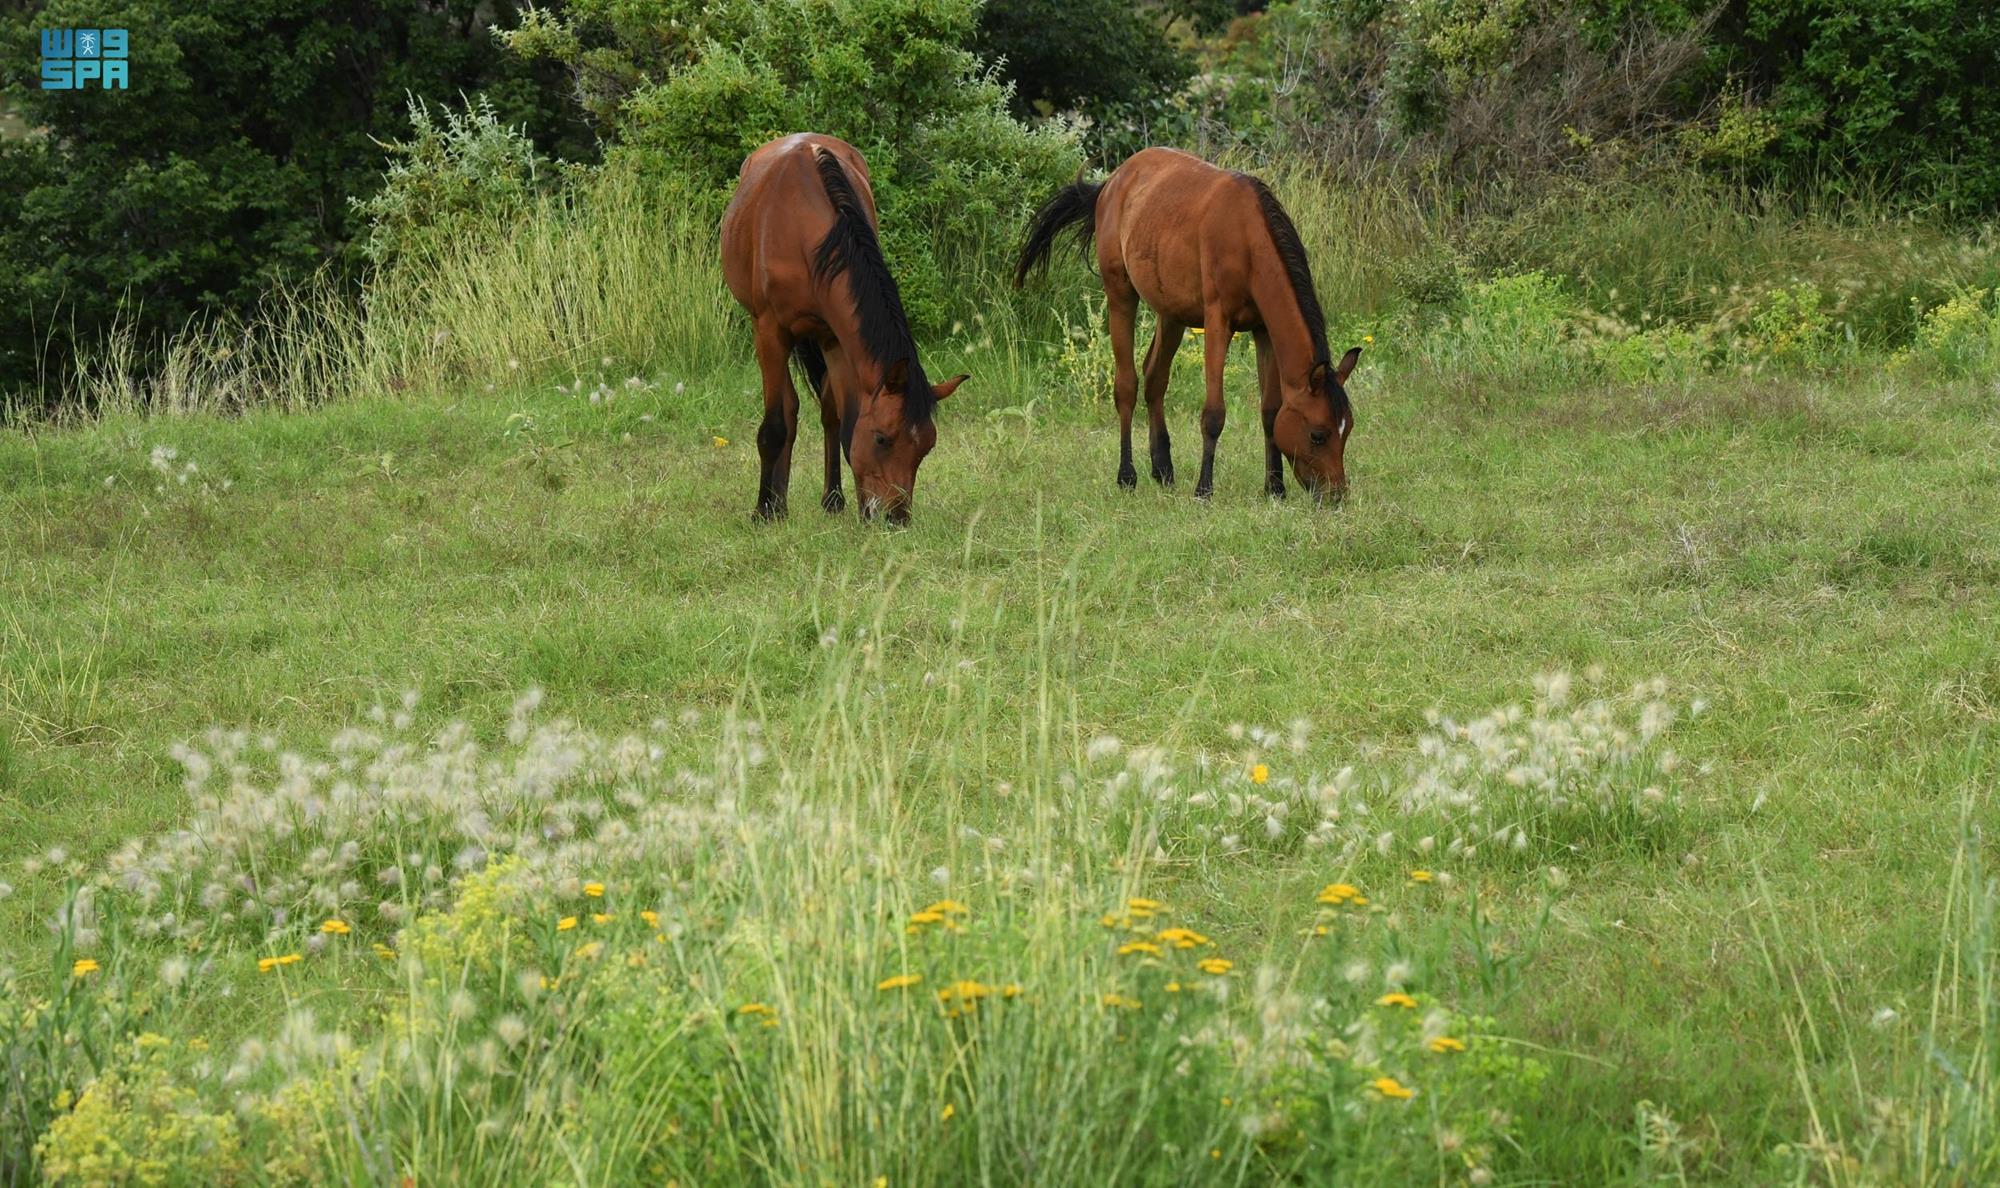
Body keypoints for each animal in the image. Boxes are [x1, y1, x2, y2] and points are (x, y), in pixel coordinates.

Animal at [720, 132, 968, 520]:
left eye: (926, 447)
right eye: (883, 438)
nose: (896, 517)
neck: (801, 226)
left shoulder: (834, 336)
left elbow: (839, 417)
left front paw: (835, 499)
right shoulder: (769, 331)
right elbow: (775, 425)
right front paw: (763, 510)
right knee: (788, 409)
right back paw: (777, 502)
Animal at [1016, 147, 1360, 500]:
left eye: (1347, 429)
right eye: (1318, 434)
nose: (1336, 494)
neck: (1248, 239)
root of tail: (1112, 182)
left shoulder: (1263, 331)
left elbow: (1270, 410)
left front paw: (1275, 488)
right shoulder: (1218, 323)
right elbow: (1214, 414)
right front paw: (1204, 488)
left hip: (1171, 313)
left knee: (1155, 378)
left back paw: (1163, 469)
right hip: (1120, 295)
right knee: (1127, 386)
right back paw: (1127, 476)